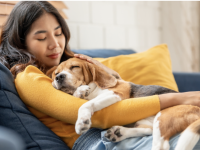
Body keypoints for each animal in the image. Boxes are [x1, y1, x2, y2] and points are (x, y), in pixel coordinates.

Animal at [46, 57, 200, 150]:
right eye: (56, 73)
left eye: (74, 67)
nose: (59, 77)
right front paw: (80, 91)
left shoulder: (115, 93)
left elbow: (86, 104)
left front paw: (82, 121)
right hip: (151, 120)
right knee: (147, 130)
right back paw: (119, 133)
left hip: (164, 117)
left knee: (161, 145)